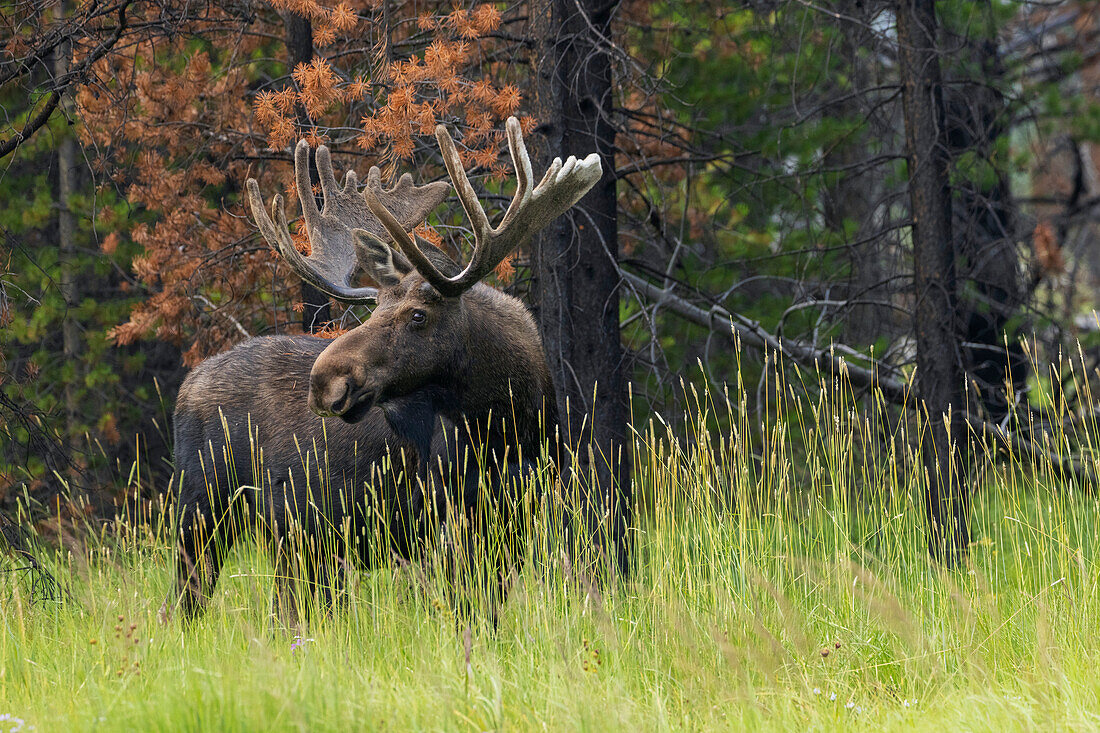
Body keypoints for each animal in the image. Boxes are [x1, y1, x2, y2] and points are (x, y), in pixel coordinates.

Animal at [165, 117, 602, 620]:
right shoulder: (440, 523)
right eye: (373, 307)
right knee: (186, 604)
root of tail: (187, 386)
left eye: (418, 315)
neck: (511, 426)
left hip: (298, 541)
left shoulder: (509, 527)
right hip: (203, 509)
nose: (324, 382)